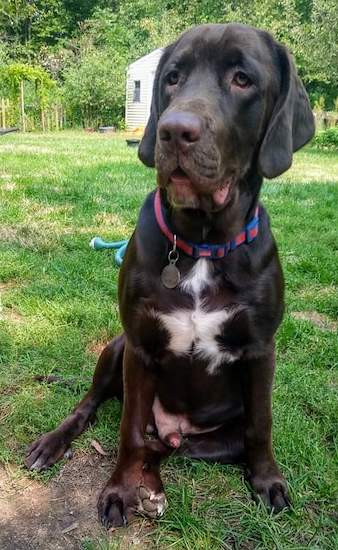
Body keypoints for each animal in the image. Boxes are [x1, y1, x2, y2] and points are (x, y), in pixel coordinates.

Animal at [25, 23, 314, 528]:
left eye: (243, 79)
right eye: (173, 77)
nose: (175, 130)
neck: (201, 244)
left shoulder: (261, 350)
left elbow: (262, 425)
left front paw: (267, 481)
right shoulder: (139, 347)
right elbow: (127, 433)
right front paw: (119, 491)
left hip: (212, 439)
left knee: (167, 447)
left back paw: (156, 487)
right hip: (116, 349)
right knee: (101, 411)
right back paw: (56, 443)